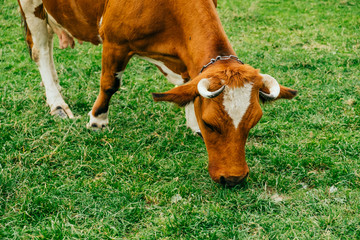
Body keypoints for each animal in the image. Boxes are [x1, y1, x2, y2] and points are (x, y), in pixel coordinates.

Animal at [17, 0, 298, 187]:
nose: (234, 178)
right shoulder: (114, 41)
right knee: (42, 49)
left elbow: (187, 83)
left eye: (253, 123)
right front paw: (98, 120)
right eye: (210, 124)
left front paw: (190, 122)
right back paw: (57, 104)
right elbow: (109, 83)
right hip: (32, 6)